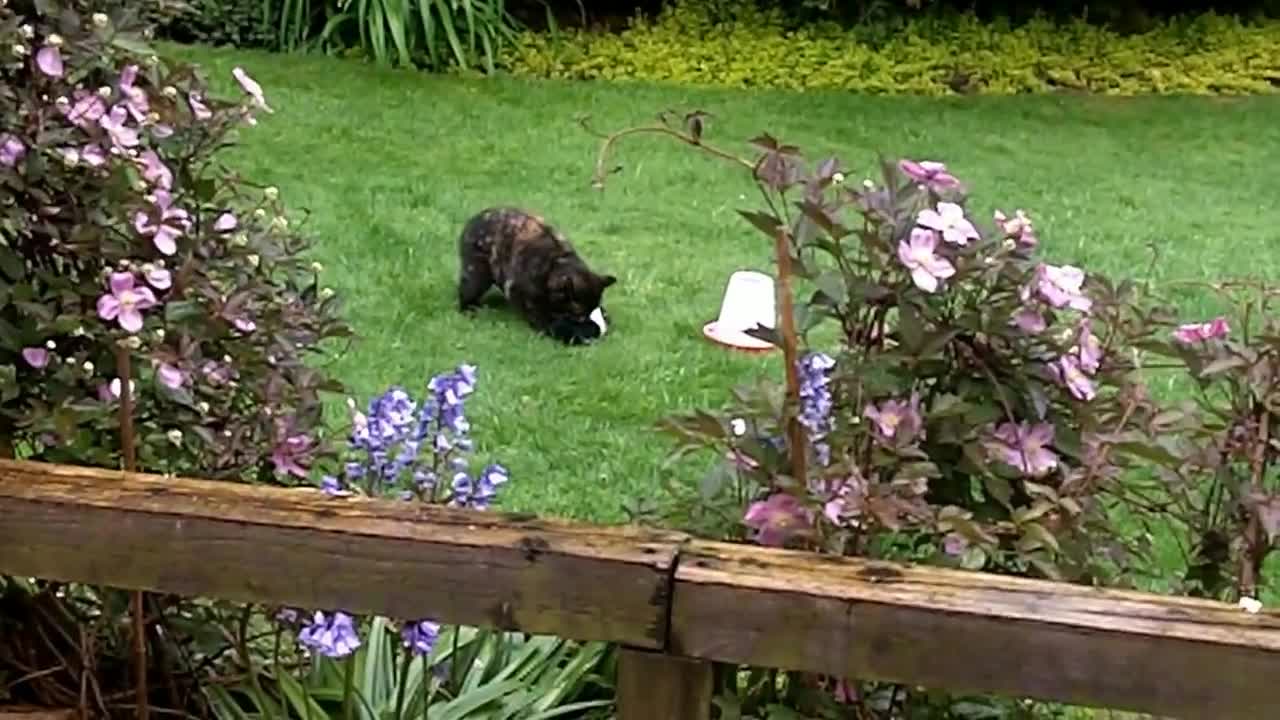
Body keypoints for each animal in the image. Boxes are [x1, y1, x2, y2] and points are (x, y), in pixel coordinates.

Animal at [458, 206, 616, 343]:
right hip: (477, 275)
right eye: (579, 316)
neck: (556, 265)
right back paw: (468, 308)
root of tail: (474, 220)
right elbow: (540, 315)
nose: (589, 323)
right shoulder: (529, 299)